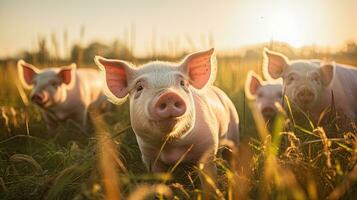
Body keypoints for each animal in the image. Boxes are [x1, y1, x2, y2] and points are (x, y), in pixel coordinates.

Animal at [94, 48, 239, 192]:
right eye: (139, 87)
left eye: (182, 83)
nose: (168, 95)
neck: (172, 145)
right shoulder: (149, 155)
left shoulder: (208, 148)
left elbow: (208, 176)